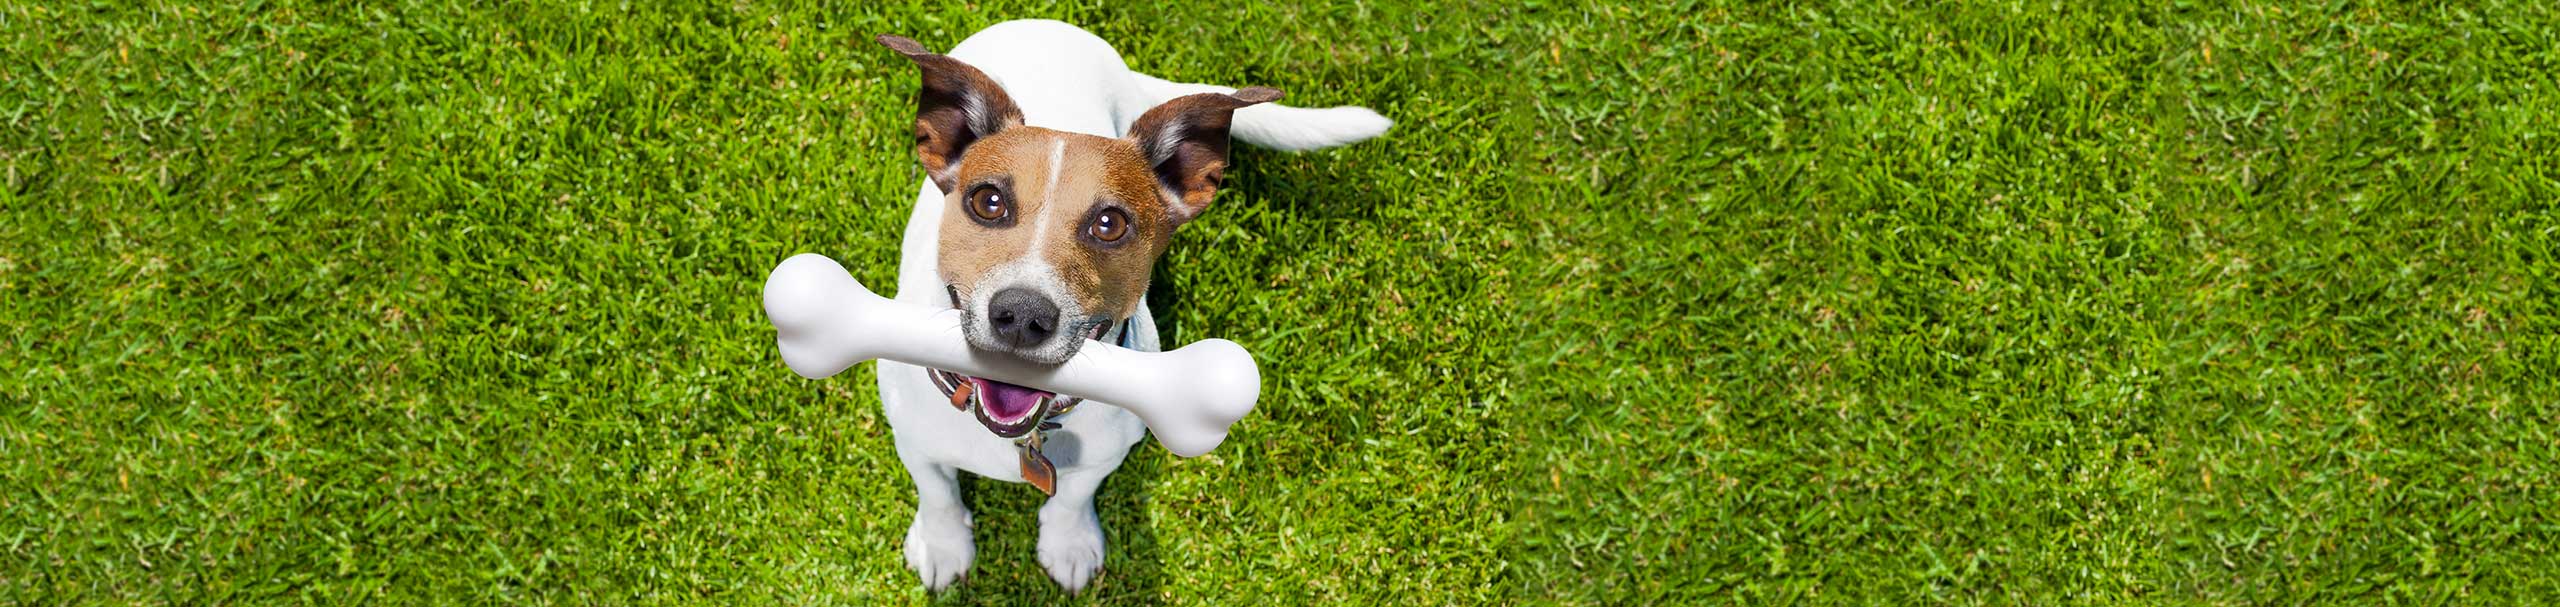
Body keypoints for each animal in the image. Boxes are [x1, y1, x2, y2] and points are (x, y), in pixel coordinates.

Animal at [865, 21, 1392, 591]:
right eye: (988, 201)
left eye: (1109, 223)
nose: (1022, 315)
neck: (1027, 433)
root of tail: (1048, 25)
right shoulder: (912, 439)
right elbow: (936, 489)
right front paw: (943, 545)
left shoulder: (1104, 456)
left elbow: (1073, 497)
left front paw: (1069, 543)